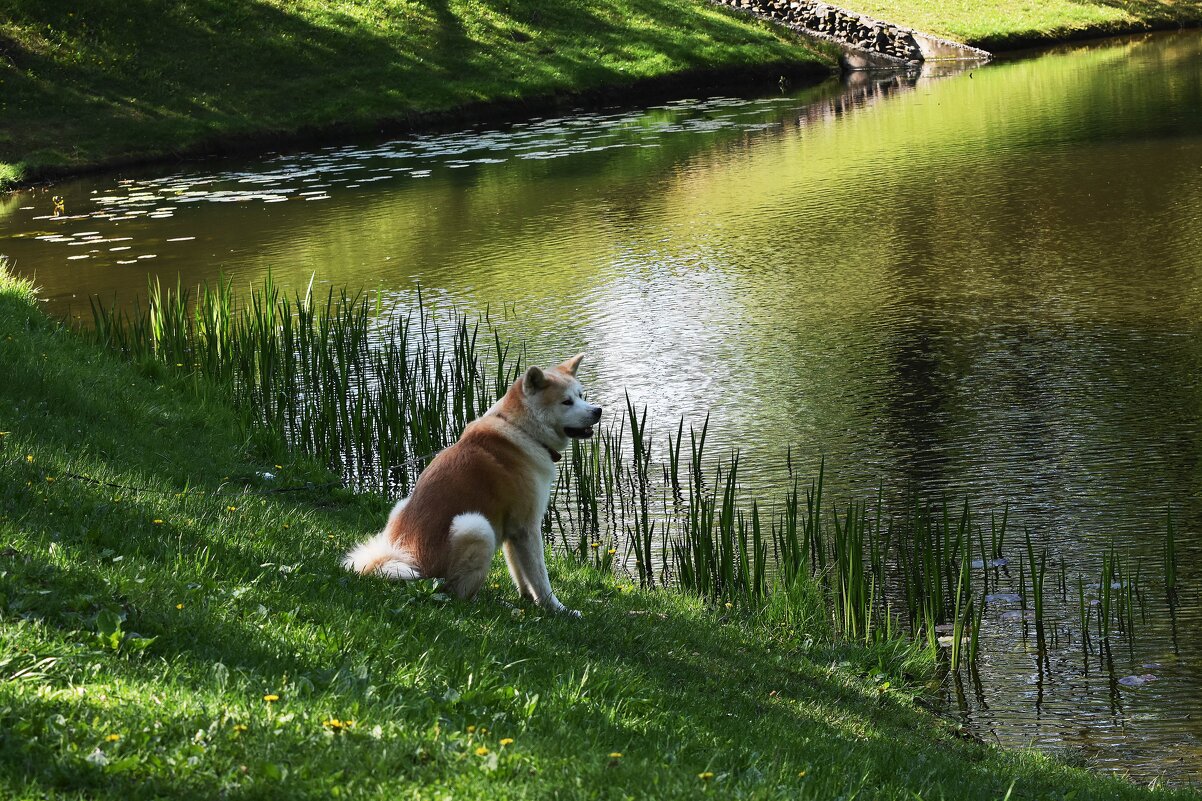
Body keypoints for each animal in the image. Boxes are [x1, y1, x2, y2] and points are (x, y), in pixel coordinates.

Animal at [338, 353, 601, 610]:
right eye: (566, 402)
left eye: (581, 395)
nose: (597, 410)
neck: (522, 431)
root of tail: (408, 563)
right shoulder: (527, 528)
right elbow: (540, 577)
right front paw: (557, 609)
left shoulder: (513, 532)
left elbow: (521, 574)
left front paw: (528, 600)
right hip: (476, 527)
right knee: (457, 595)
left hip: (402, 506)